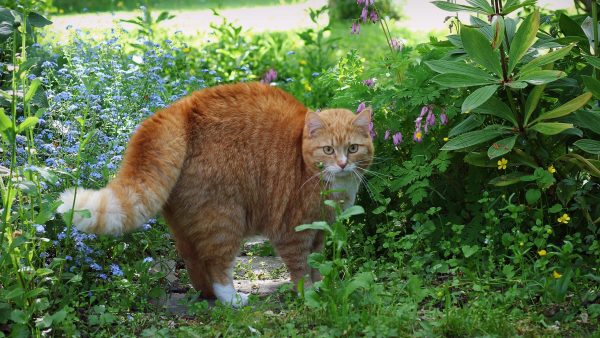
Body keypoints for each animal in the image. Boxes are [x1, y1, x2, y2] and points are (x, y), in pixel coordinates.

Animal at [58, 81, 372, 306]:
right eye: (328, 150)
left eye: (353, 148)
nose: (342, 164)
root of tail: (182, 107)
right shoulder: (292, 232)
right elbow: (300, 269)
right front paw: (309, 295)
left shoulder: (319, 232)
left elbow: (317, 266)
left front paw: (322, 288)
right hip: (224, 218)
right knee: (217, 263)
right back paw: (231, 298)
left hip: (186, 222)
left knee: (194, 261)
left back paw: (207, 294)